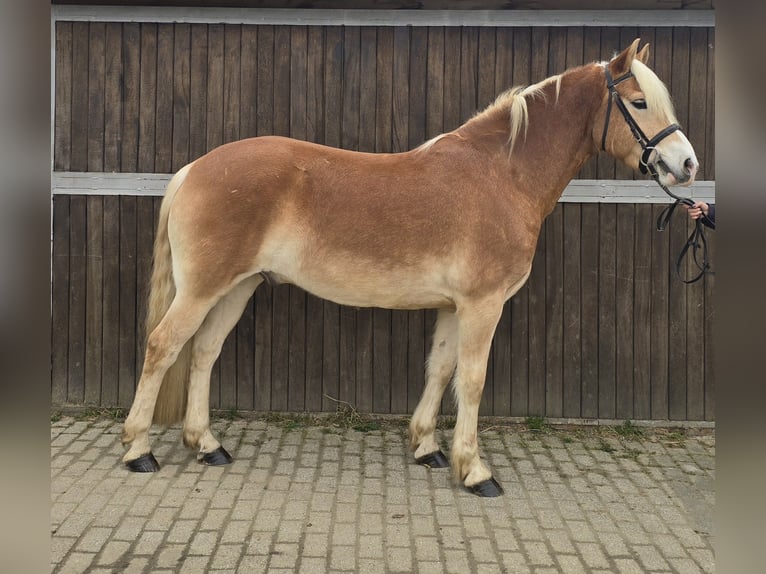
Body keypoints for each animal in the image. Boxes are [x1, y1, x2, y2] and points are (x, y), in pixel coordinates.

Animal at [121, 39, 704, 500]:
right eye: (639, 102)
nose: (687, 165)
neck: (502, 174)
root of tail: (196, 168)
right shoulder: (482, 305)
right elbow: (472, 380)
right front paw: (476, 471)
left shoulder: (454, 306)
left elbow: (440, 369)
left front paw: (428, 448)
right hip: (203, 289)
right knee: (163, 346)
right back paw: (138, 451)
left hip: (237, 288)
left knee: (203, 352)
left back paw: (207, 445)